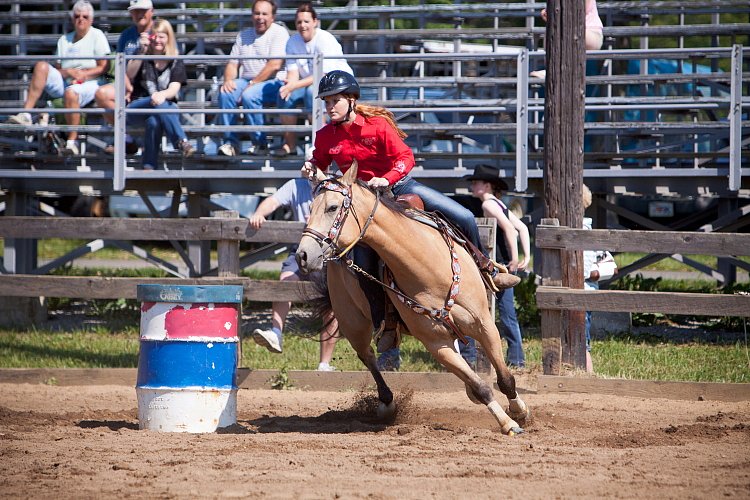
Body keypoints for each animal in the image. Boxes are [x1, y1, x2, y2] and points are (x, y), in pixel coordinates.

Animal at [296, 163, 532, 434]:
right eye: (311, 208)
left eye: (332, 207)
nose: (302, 255)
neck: (428, 266)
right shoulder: (435, 343)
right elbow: (482, 387)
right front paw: (508, 423)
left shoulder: (484, 325)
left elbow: (505, 378)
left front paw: (519, 411)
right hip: (352, 323)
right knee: (368, 356)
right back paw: (387, 403)